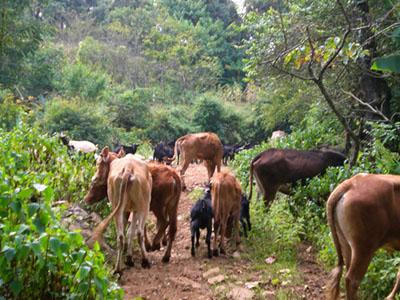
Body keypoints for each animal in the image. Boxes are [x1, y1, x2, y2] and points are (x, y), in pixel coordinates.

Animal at [86, 146, 152, 274]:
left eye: (98, 163)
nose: (93, 178)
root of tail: (128, 168)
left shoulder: (126, 210)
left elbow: (127, 232)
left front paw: (128, 258)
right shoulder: (135, 209)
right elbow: (131, 231)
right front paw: (130, 258)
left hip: (117, 207)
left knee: (120, 236)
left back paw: (117, 269)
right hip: (144, 205)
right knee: (139, 232)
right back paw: (145, 260)